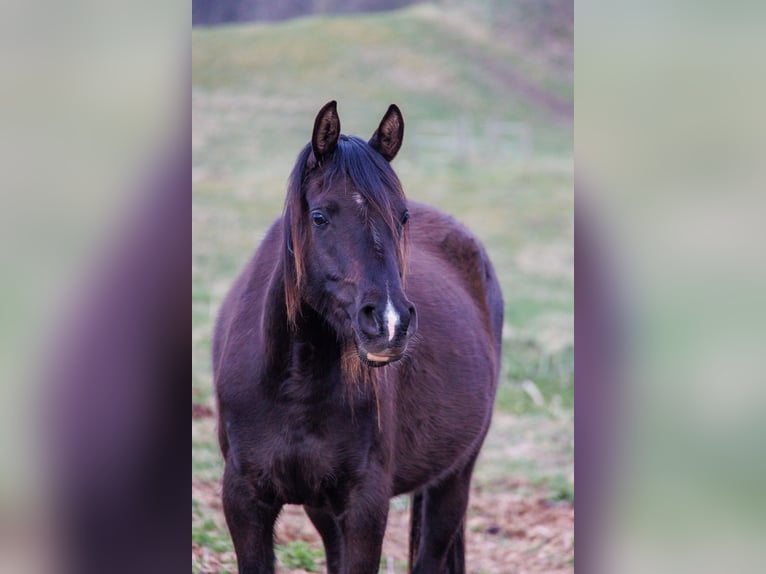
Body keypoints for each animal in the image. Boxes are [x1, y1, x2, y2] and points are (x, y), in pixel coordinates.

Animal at [213, 101, 503, 574]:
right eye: (319, 216)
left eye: (402, 215)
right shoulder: (245, 501)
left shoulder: (365, 508)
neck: (294, 385)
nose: (389, 323)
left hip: (455, 476)